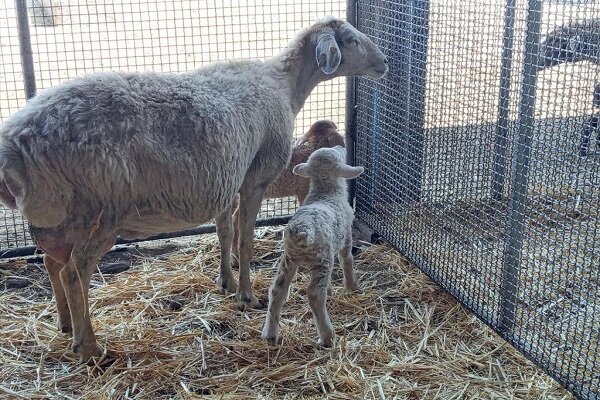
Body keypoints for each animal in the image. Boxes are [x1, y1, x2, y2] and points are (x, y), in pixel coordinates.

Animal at [262, 145, 364, 346]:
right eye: (338, 154)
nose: (340, 147)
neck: (325, 192)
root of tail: (302, 231)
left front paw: (332, 290)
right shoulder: (346, 236)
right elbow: (347, 260)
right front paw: (351, 286)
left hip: (289, 258)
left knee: (277, 290)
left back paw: (270, 334)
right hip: (322, 258)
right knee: (315, 294)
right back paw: (328, 336)